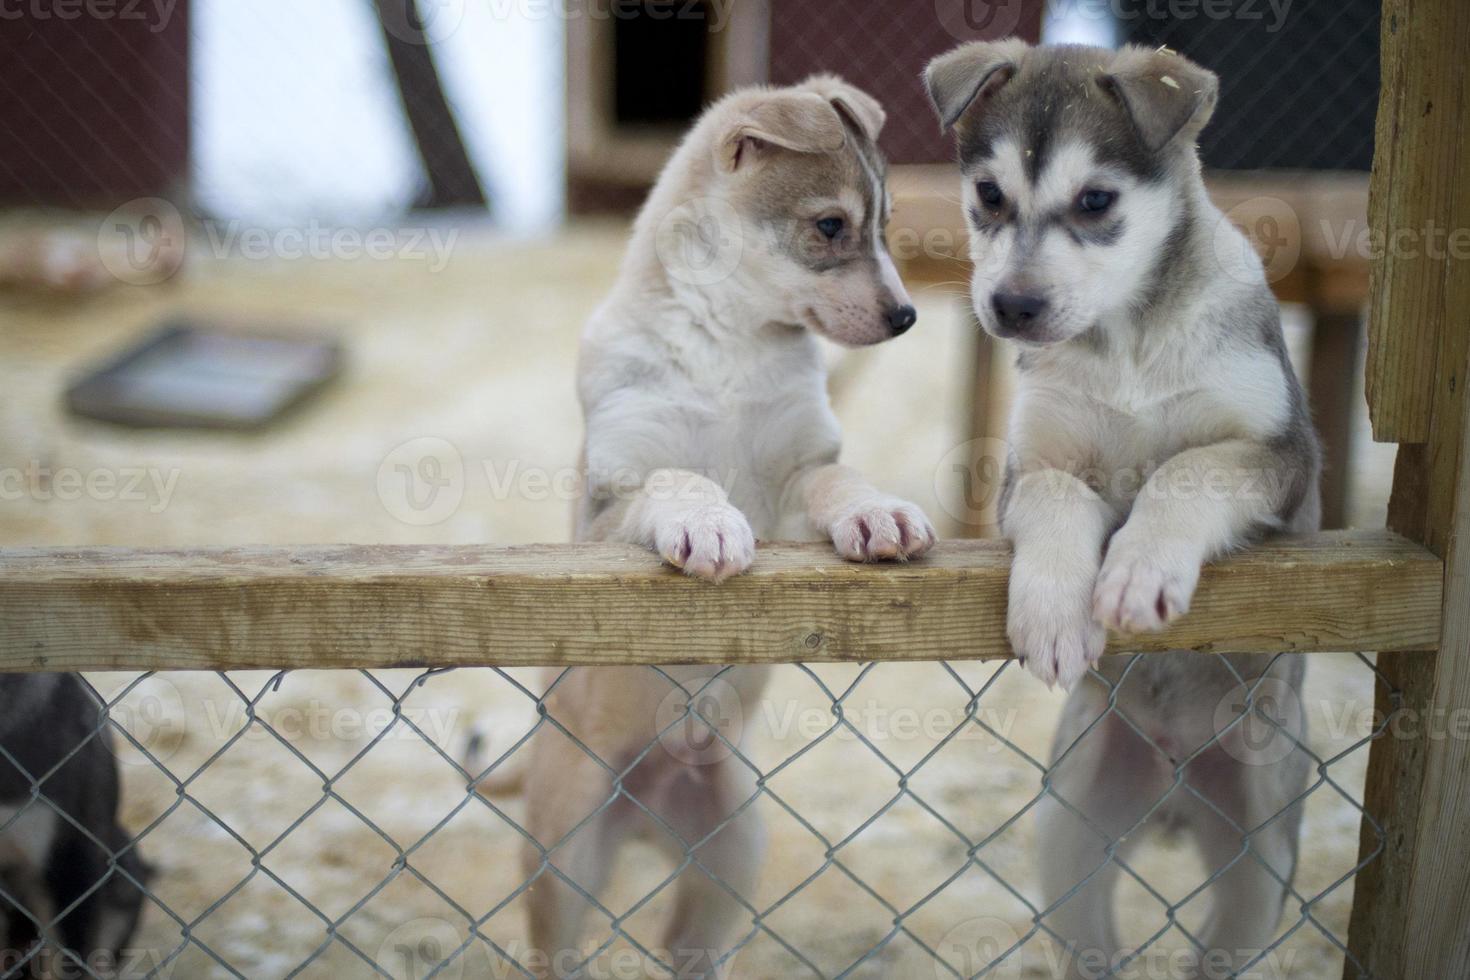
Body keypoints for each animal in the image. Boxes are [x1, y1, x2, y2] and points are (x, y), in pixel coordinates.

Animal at [493, 78, 929, 980]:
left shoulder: (798, 469)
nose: (908, 317)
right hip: (563, 859)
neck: (727, 343)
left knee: (690, 946)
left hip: (732, 848)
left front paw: (877, 513)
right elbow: (678, 477)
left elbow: (839, 478)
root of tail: (644, 804)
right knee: (561, 948)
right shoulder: (607, 504)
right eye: (830, 226)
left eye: (885, 220)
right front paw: (706, 526)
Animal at [923, 42, 1317, 975]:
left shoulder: (1283, 460)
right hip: (1072, 831)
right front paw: (1054, 611)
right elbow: (1062, 496)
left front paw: (1140, 575)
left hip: (1262, 860)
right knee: (1091, 940)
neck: (1128, 343)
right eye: (989, 195)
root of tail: (1175, 789)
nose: (1012, 307)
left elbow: (1188, 471)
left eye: (1096, 201)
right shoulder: (1030, 466)